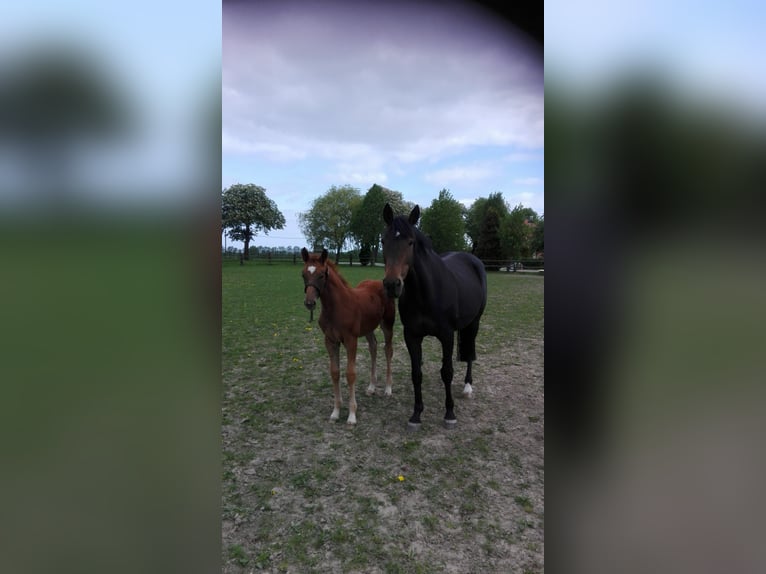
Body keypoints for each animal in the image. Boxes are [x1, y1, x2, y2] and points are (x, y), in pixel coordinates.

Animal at [300, 249, 396, 428]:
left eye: (322, 275)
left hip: (387, 324)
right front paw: (336, 412)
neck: (336, 307)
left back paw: (388, 389)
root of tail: (378, 282)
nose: (309, 303)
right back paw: (372, 387)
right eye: (303, 274)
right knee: (373, 347)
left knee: (388, 350)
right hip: (368, 328)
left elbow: (350, 374)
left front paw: (352, 415)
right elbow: (335, 372)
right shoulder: (330, 341)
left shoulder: (351, 340)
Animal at [382, 205, 488, 430]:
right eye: (383, 241)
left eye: (410, 242)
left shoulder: (446, 335)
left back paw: (467, 387)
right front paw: (416, 415)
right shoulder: (411, 336)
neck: (426, 292)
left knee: (469, 353)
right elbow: (416, 374)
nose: (391, 285)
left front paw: (449, 414)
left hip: (474, 323)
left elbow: (447, 371)